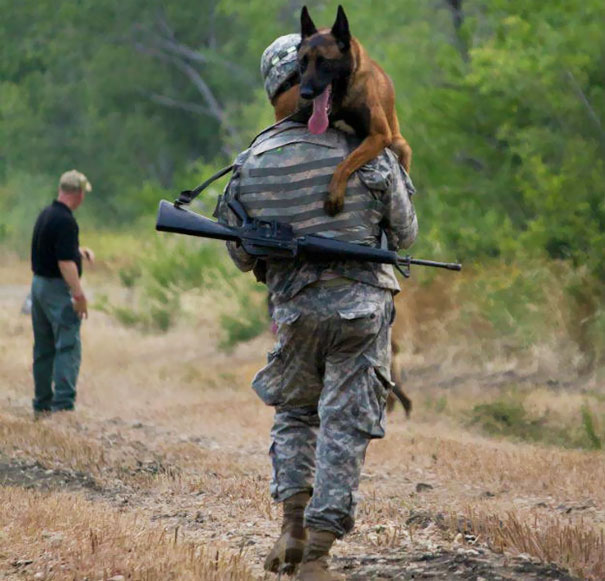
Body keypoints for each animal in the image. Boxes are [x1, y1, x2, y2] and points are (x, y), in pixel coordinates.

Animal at [286, 3, 410, 218]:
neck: (340, 102)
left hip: (400, 145)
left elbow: (346, 163)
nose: (305, 93)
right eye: (303, 62)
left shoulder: (379, 135)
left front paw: (334, 194)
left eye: (324, 62)